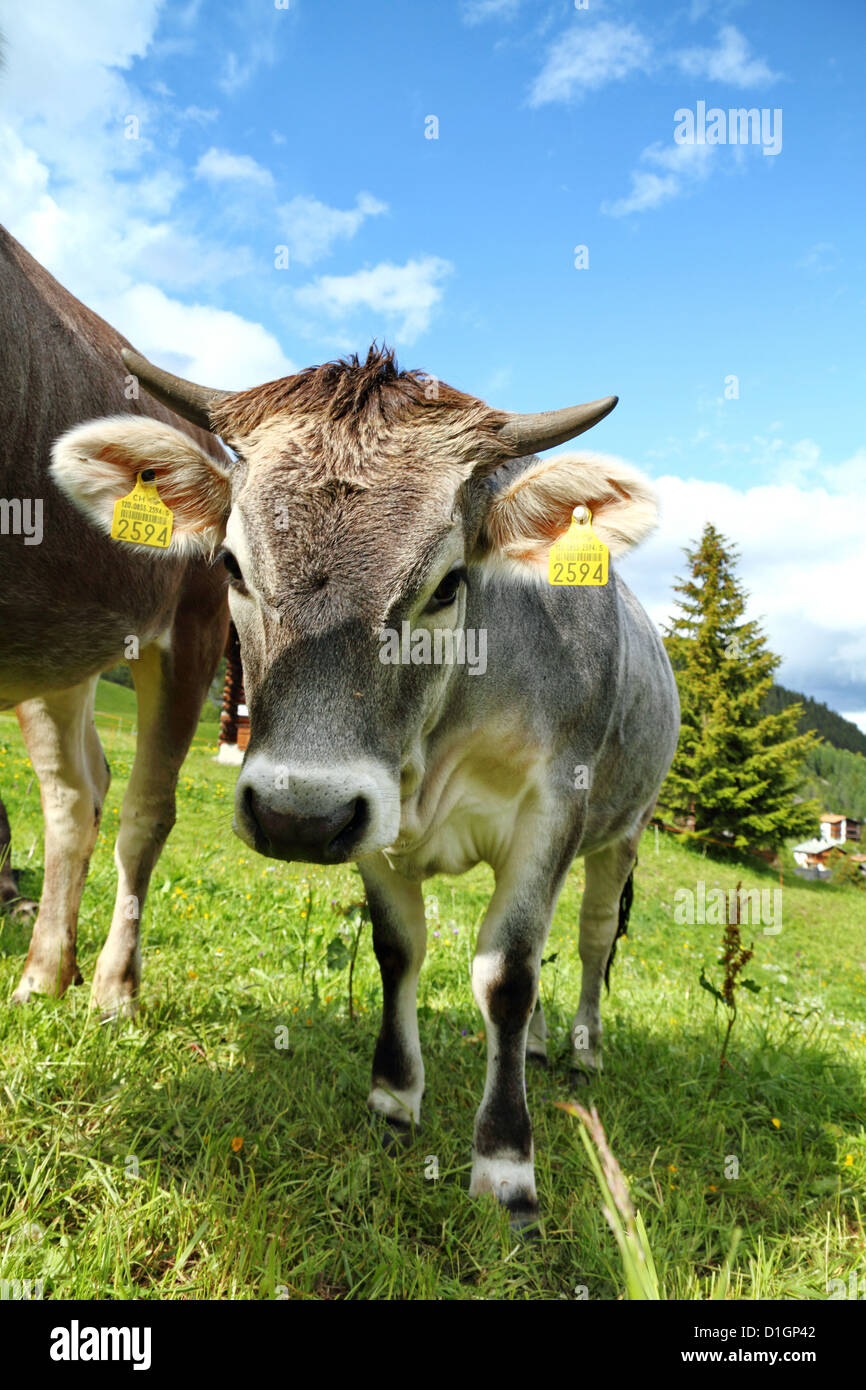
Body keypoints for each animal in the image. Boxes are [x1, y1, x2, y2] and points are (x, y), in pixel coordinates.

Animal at [0, 225, 229, 1015]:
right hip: (54, 644)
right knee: (73, 796)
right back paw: (43, 973)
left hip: (193, 627)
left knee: (143, 810)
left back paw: (111, 988)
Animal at [52, 345, 679, 1226]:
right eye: (231, 565)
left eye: (448, 583)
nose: (295, 816)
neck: (435, 745)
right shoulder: (372, 817)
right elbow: (398, 948)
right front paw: (394, 1096)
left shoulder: (553, 805)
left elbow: (508, 974)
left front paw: (506, 1162)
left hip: (623, 829)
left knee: (590, 938)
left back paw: (582, 1046)